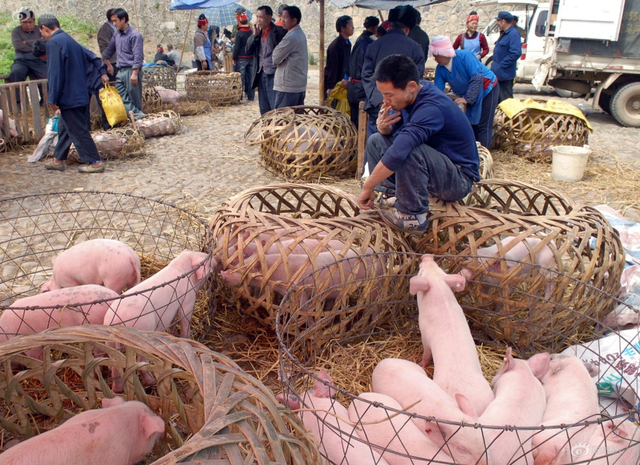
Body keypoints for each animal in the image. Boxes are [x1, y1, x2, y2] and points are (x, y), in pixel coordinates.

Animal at [409, 254, 494, 416]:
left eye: (420, 272)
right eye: (440, 268)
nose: (427, 256)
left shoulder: (425, 333)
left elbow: (426, 354)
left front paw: (420, 364)